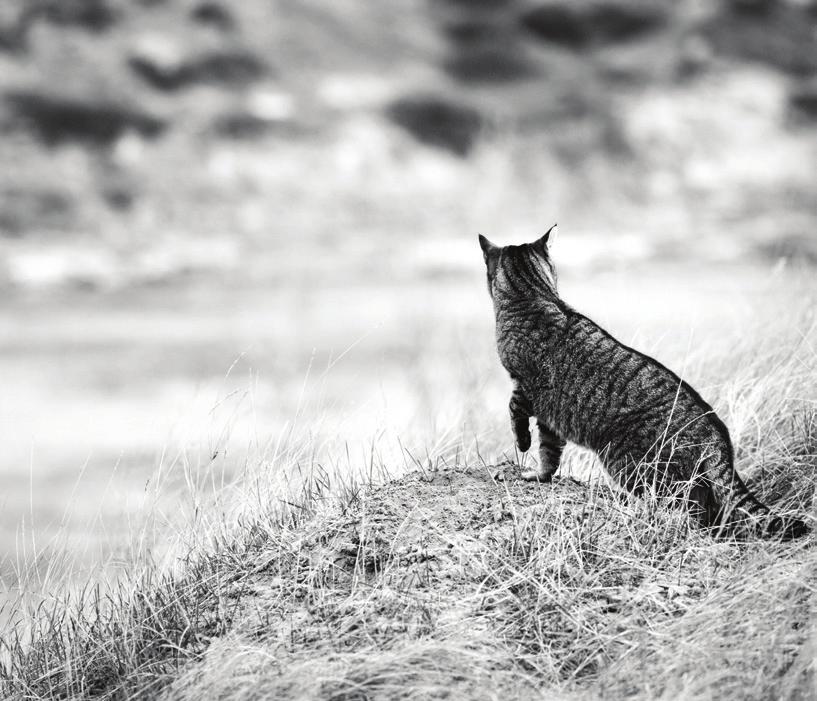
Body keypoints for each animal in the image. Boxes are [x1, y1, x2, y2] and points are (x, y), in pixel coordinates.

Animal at [478, 227, 808, 540]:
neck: (534, 293)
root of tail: (715, 430)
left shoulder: (524, 386)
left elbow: (515, 413)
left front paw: (522, 443)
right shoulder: (550, 417)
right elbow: (549, 452)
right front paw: (541, 475)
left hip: (632, 464)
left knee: (686, 509)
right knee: (709, 510)